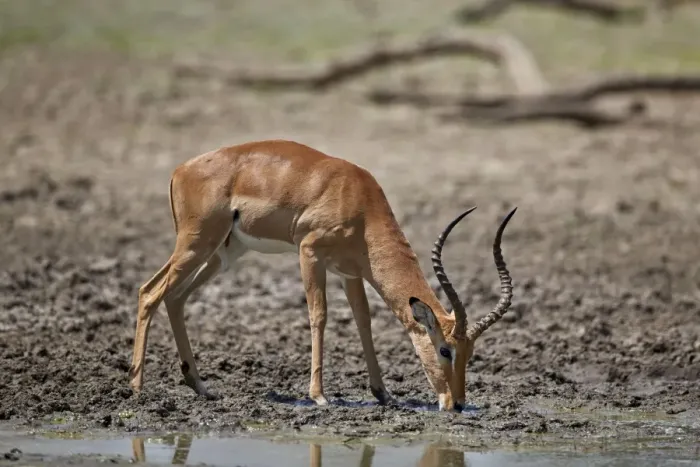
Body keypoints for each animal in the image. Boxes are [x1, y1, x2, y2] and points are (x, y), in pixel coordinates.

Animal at [128, 139, 516, 411]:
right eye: (445, 350)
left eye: (470, 352)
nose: (458, 404)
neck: (359, 203)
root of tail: (181, 169)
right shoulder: (310, 253)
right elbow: (319, 316)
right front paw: (318, 396)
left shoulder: (350, 272)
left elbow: (363, 322)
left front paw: (384, 394)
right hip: (196, 244)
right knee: (150, 292)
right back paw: (136, 388)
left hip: (222, 253)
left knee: (175, 297)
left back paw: (201, 386)